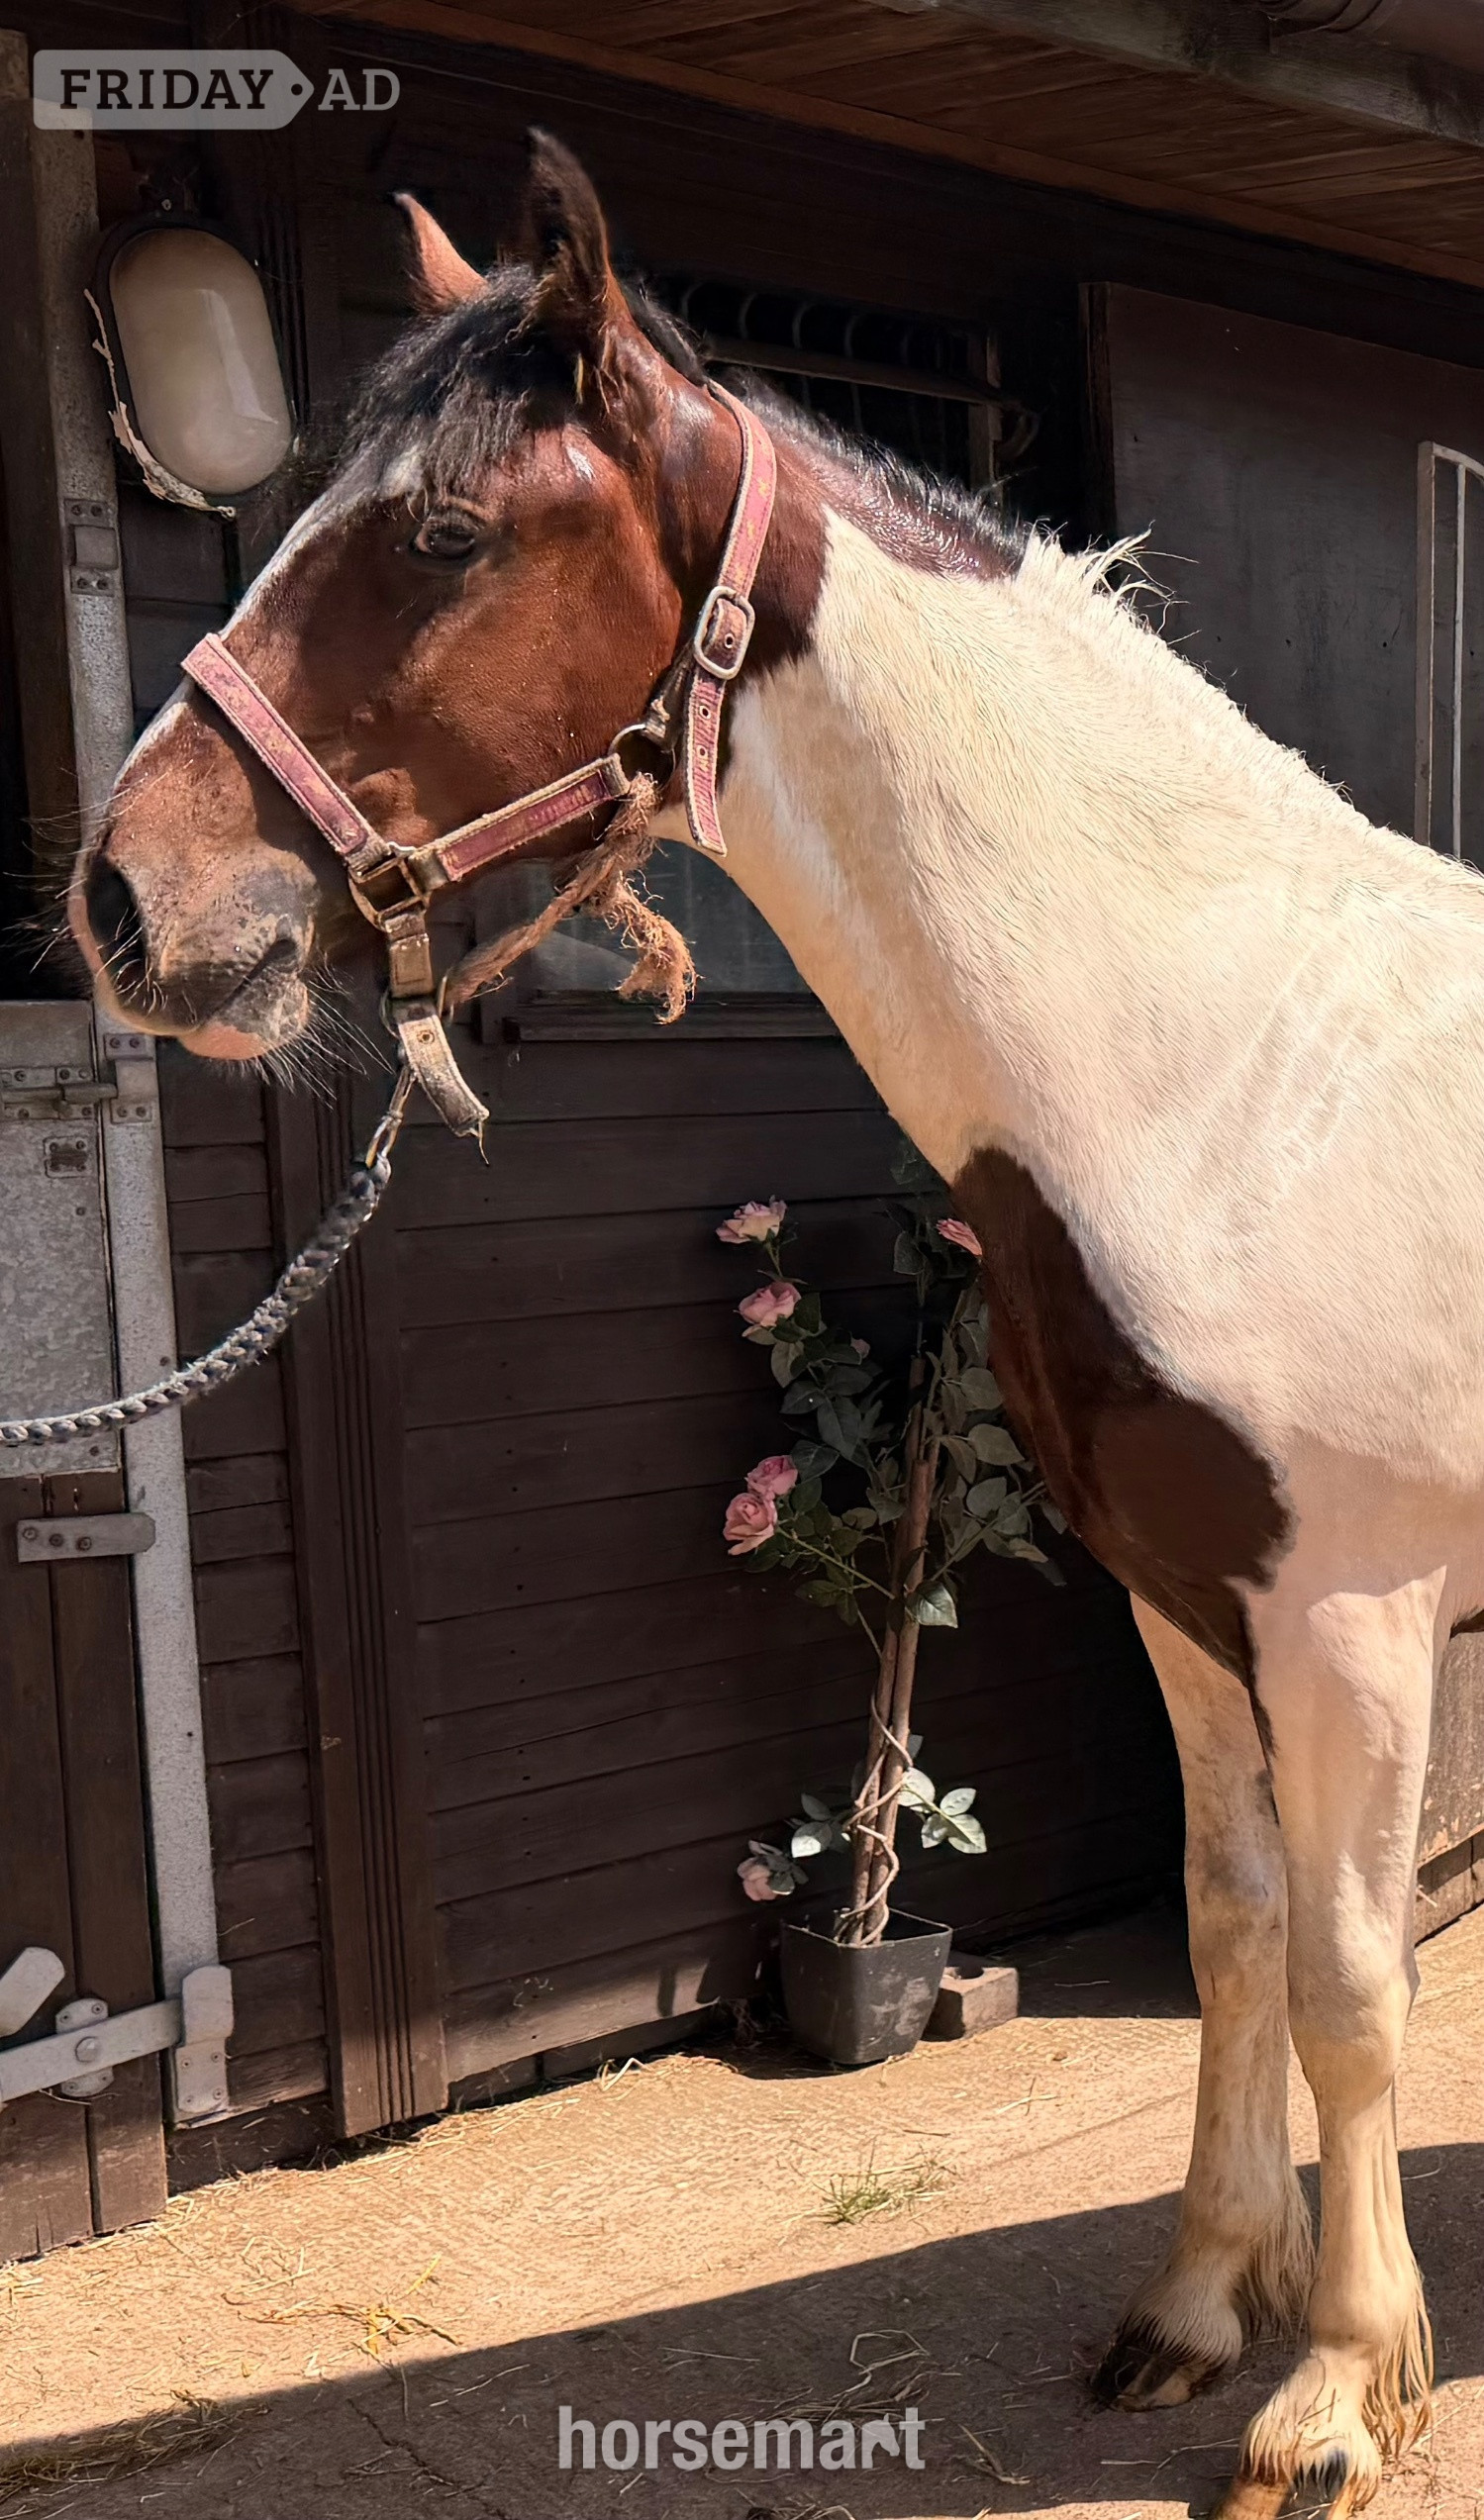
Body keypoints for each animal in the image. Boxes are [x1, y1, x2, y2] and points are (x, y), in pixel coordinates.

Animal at [69, 130, 1484, 2520]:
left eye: (442, 538)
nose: (122, 902)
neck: (1226, 1063)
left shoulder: (1353, 1619)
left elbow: (1353, 1982)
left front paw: (1329, 2395)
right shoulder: (1187, 1601)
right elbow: (1231, 1934)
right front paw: (1202, 2308)